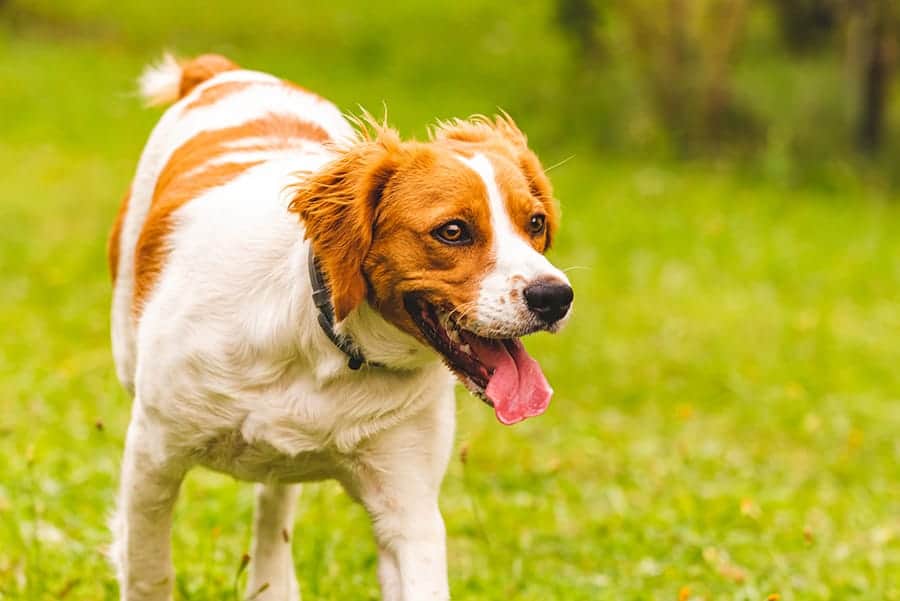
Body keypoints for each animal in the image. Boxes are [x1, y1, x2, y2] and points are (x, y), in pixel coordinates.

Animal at [109, 54, 572, 596]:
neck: (324, 343)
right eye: (453, 231)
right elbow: (149, 572)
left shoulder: (408, 505)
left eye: (535, 222)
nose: (555, 297)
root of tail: (224, 71)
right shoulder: (153, 454)